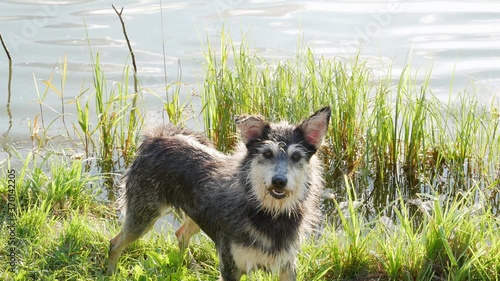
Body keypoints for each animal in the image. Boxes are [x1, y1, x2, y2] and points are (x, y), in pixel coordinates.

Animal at [107, 106, 330, 278]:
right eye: (267, 153)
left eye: (296, 156)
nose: (279, 181)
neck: (269, 214)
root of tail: (157, 138)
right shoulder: (230, 265)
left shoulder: (287, 265)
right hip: (142, 218)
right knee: (115, 243)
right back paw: (111, 272)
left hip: (196, 217)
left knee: (181, 233)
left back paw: (188, 266)